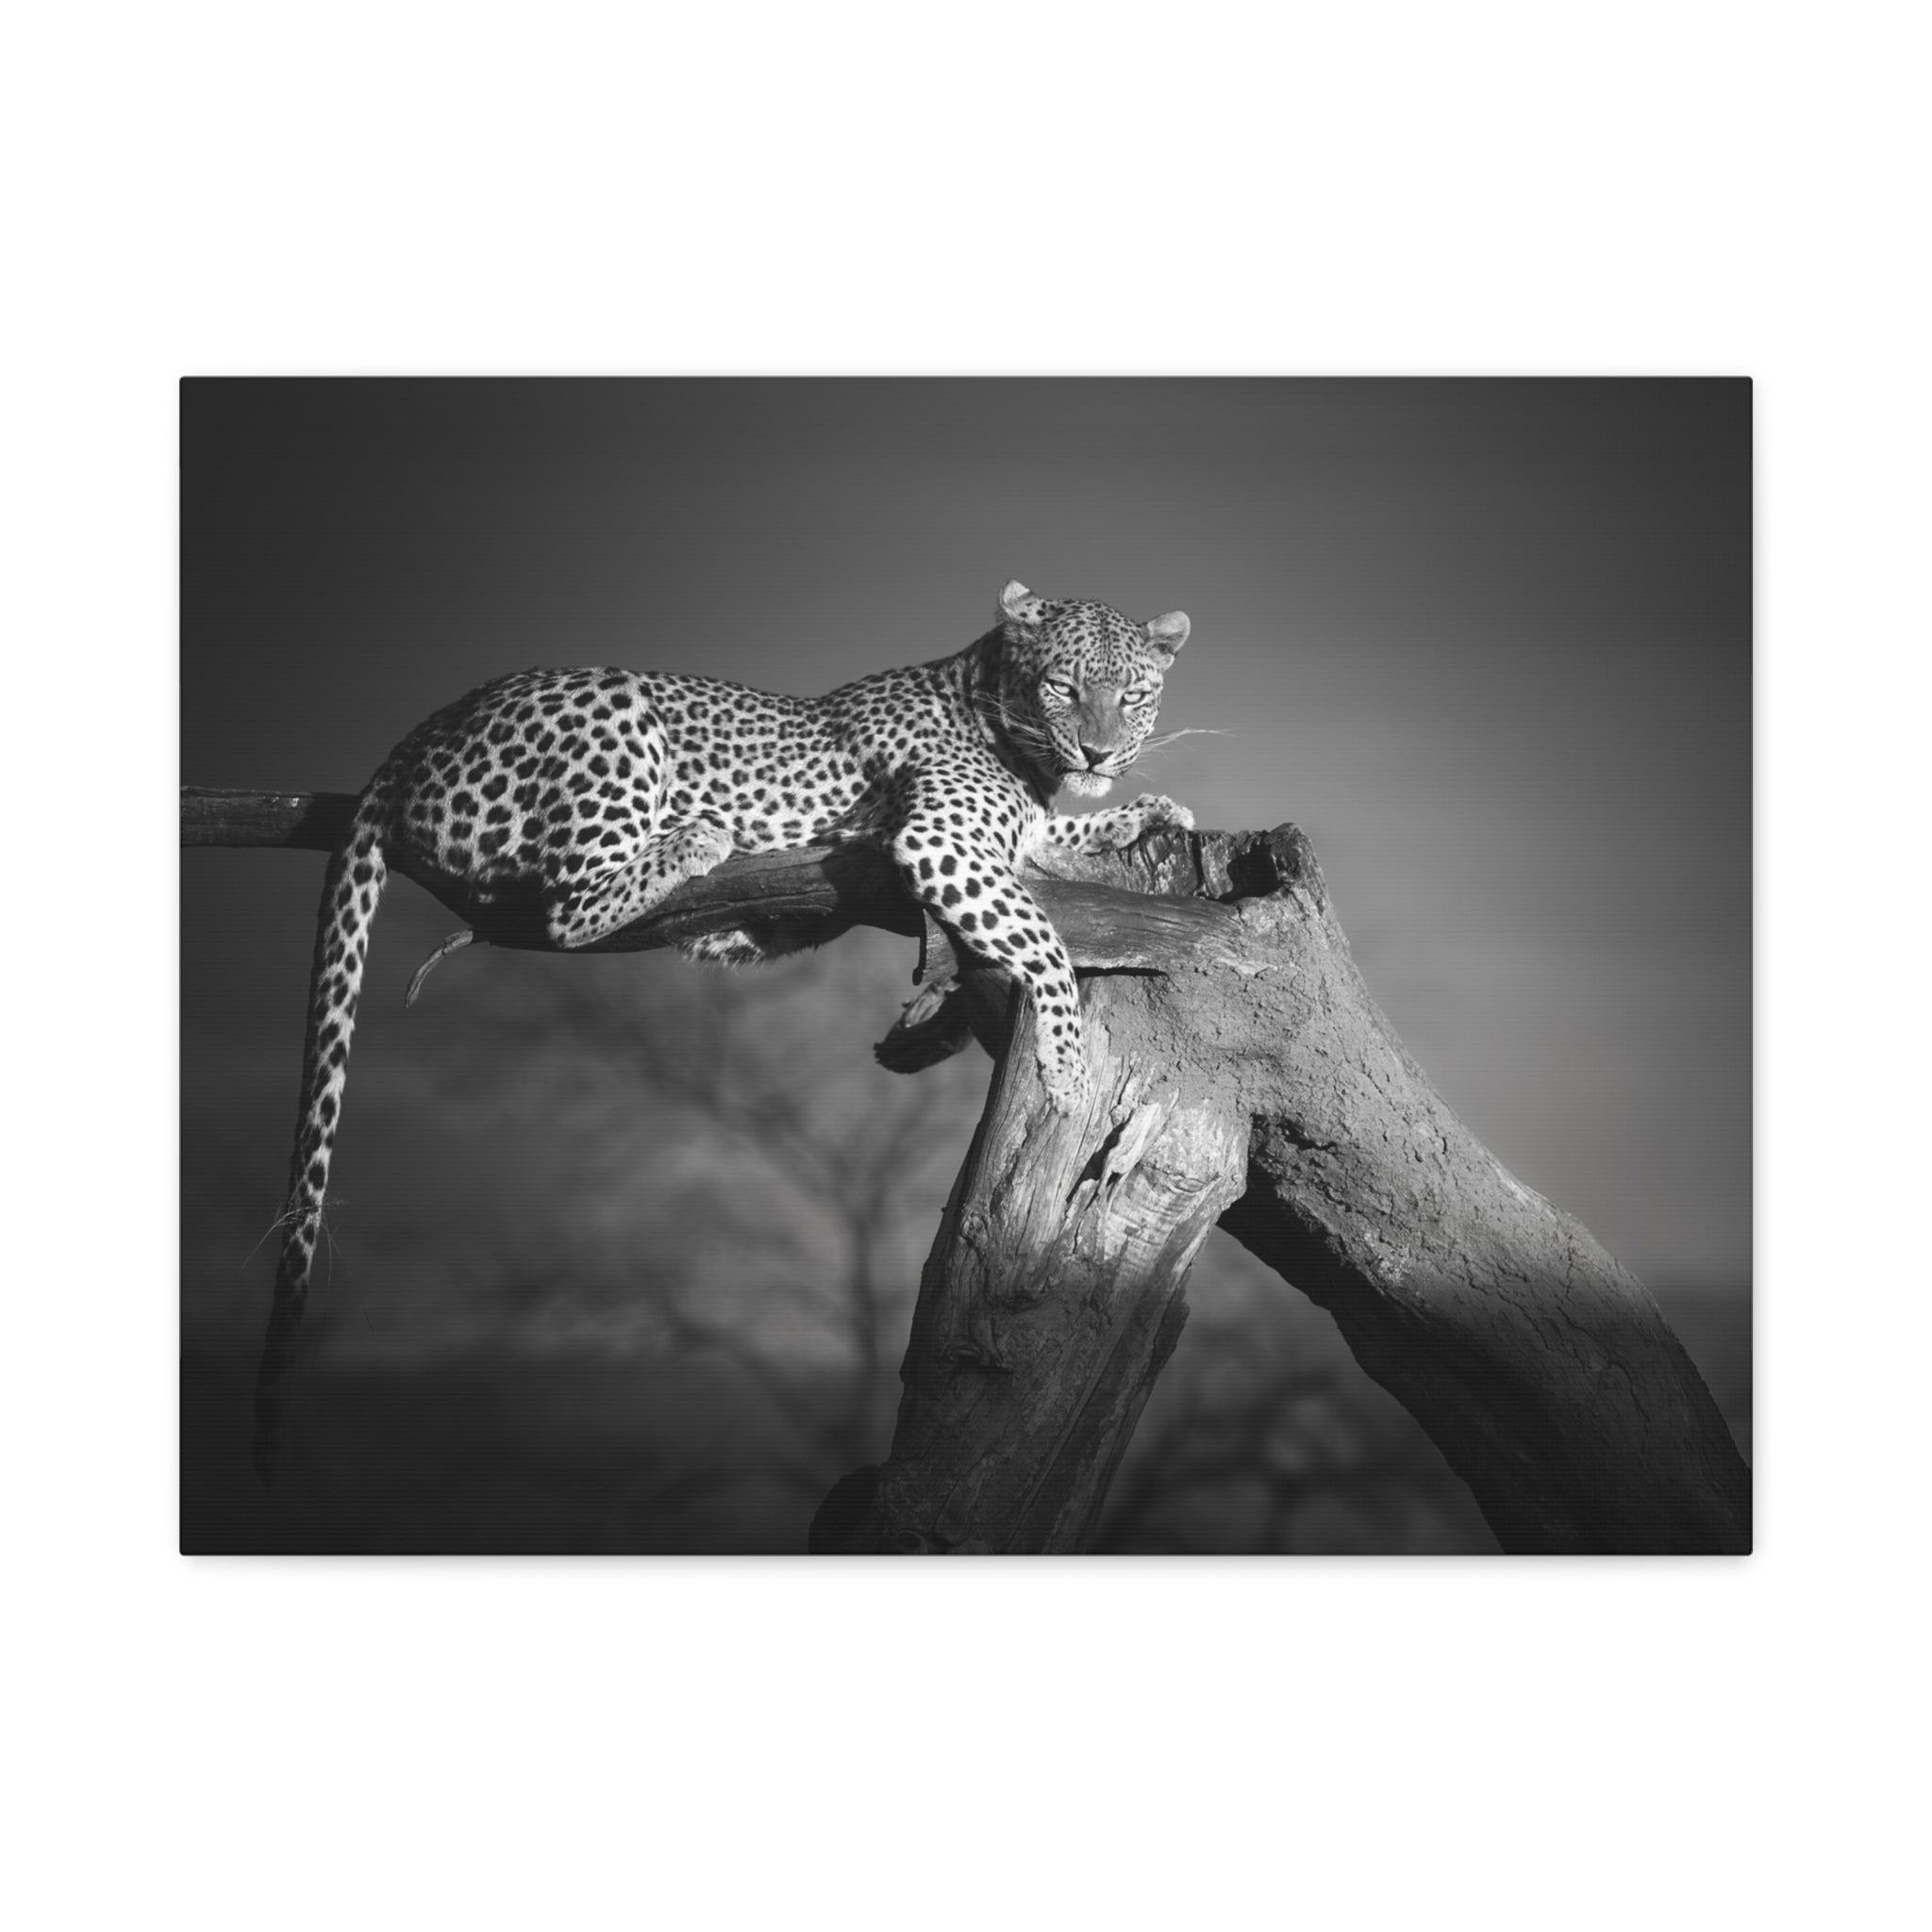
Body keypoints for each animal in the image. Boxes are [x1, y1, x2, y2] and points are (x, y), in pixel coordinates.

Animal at [252, 579, 1193, 1483]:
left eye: (1134, 695)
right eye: (1065, 687)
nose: (1100, 753)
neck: (1009, 725)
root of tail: (424, 730)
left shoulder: (1001, 840)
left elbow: (1052, 847)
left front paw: (1142, 814)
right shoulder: (941, 839)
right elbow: (1045, 939)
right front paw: (1067, 1068)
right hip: (615, 718)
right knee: (566, 907)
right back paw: (696, 837)